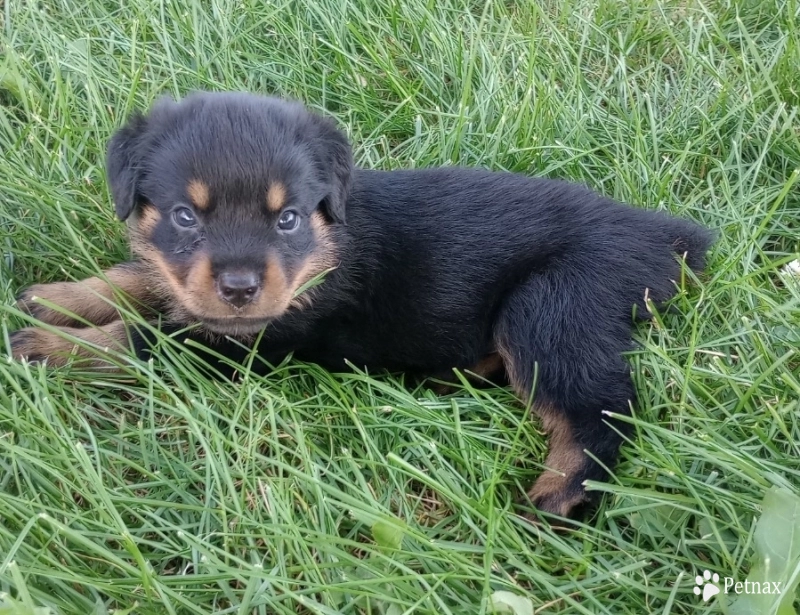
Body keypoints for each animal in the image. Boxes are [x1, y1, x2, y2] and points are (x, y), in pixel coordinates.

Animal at [10, 91, 712, 516]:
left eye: (287, 218)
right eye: (185, 215)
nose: (239, 289)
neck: (327, 244)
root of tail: (669, 237)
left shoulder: (249, 341)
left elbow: (144, 338)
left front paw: (48, 345)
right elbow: (138, 276)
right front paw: (57, 298)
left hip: (553, 304)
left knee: (599, 409)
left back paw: (557, 495)